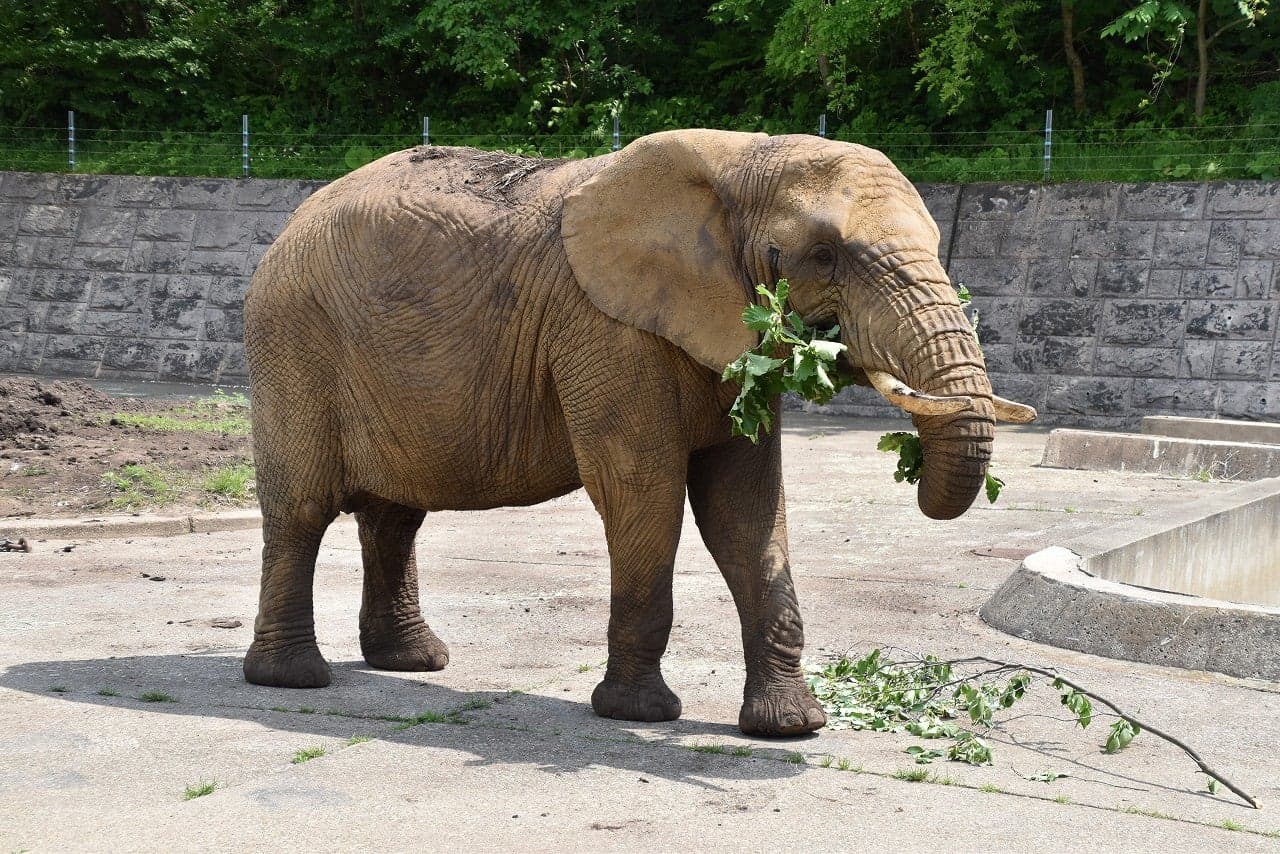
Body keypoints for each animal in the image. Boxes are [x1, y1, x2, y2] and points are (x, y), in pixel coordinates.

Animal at [242, 129, 1035, 736]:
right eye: (824, 255)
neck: (739, 160)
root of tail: (286, 225)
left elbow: (747, 509)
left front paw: (791, 727)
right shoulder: (605, 329)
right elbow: (642, 490)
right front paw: (639, 715)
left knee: (395, 515)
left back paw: (413, 663)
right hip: (293, 341)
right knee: (303, 509)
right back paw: (294, 679)